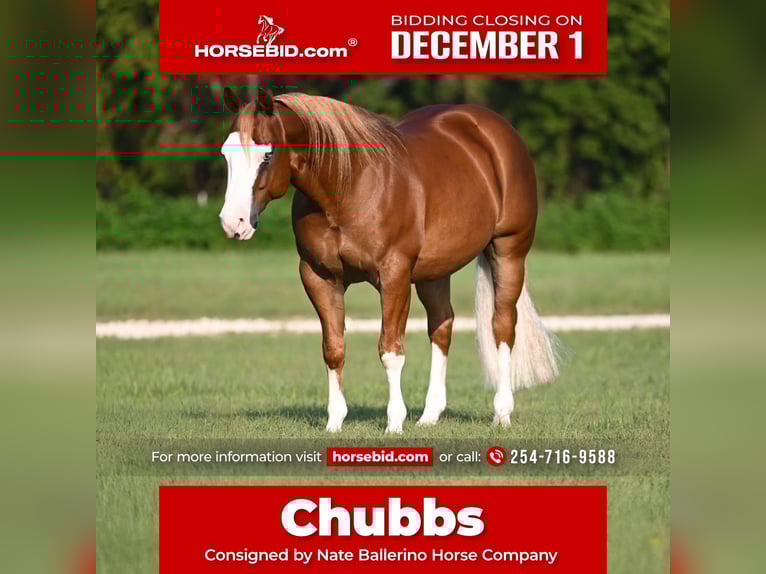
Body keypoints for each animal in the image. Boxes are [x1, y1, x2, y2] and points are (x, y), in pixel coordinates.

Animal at [218, 86, 561, 433]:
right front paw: (334, 422)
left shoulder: (394, 276)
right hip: (433, 271)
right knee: (442, 325)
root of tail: (496, 130)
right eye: (225, 154)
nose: (233, 223)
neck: (347, 186)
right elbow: (333, 348)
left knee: (502, 326)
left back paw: (501, 413)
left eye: (267, 154)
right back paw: (430, 415)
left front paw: (394, 422)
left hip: (508, 251)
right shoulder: (319, 277)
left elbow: (391, 350)